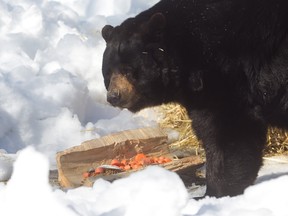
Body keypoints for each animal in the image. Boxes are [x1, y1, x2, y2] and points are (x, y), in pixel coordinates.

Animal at [100, 0, 288, 197]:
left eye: (129, 71)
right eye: (108, 73)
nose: (114, 96)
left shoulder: (229, 76)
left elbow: (230, 131)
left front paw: (215, 192)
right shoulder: (200, 94)